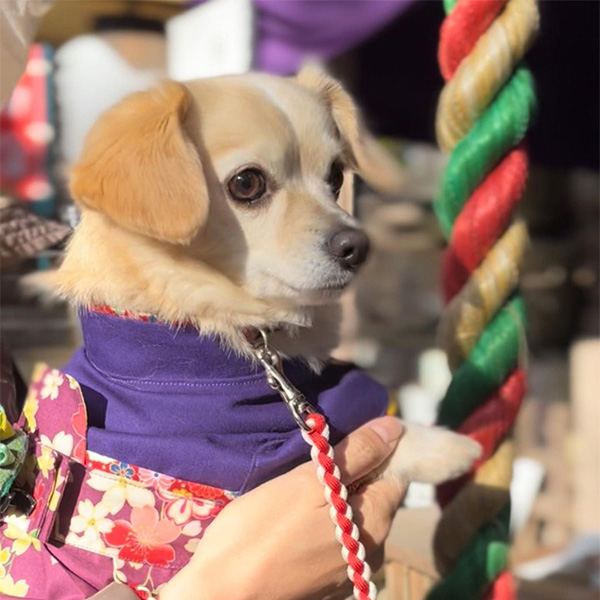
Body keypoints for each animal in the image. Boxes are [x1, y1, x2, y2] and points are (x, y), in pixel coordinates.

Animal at [4, 63, 480, 596]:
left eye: (336, 177)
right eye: (247, 183)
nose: (358, 245)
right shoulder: (255, 470)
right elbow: (371, 446)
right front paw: (447, 448)